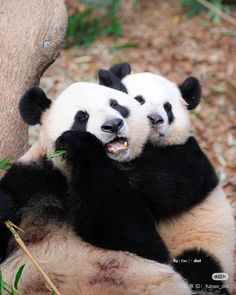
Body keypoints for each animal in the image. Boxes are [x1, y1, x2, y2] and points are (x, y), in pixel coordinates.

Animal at [98, 63, 235, 294]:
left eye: (168, 107)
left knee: (200, 266)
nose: (155, 119)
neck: (149, 145)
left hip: (206, 246)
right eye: (138, 99)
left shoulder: (188, 158)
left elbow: (169, 191)